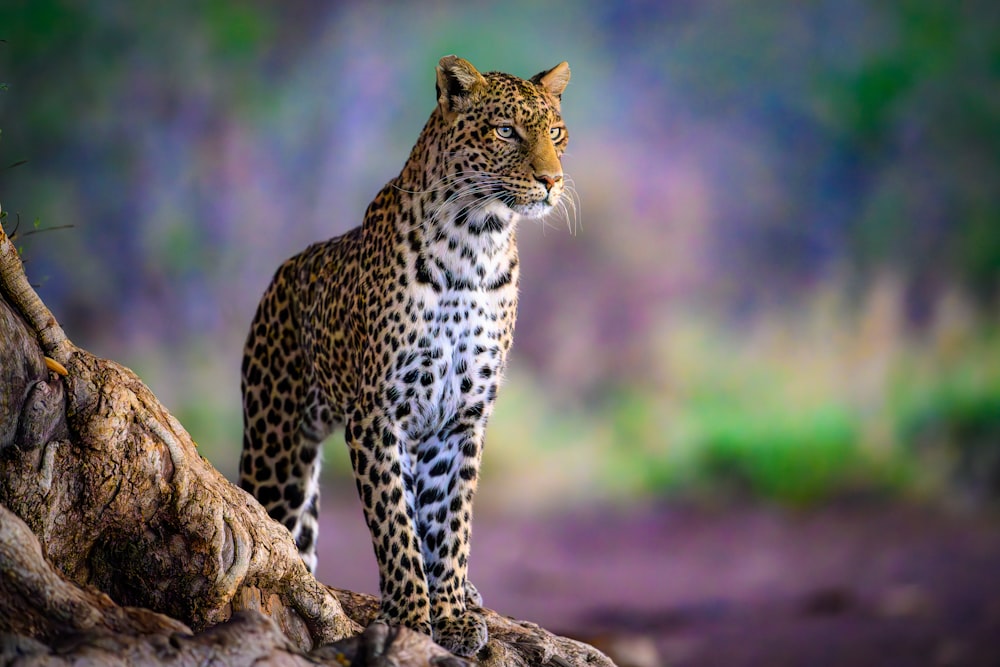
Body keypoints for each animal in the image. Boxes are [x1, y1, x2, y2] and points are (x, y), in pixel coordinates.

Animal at [238, 56, 576, 656]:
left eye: (555, 133)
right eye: (505, 131)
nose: (551, 180)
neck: (477, 243)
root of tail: (281, 275)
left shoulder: (461, 418)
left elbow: (450, 522)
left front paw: (452, 612)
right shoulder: (377, 413)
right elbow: (395, 523)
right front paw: (414, 617)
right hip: (277, 449)